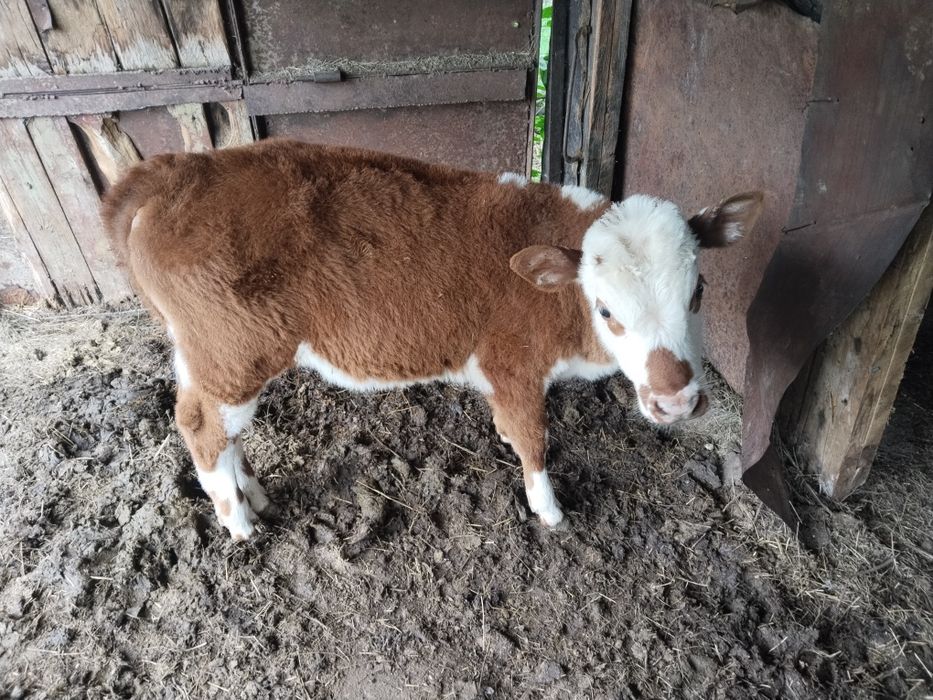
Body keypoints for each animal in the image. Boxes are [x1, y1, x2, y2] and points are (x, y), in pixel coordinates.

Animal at [102, 140, 763, 541]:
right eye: (606, 309)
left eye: (698, 292)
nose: (677, 400)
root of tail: (178, 169)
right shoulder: (511, 367)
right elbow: (532, 440)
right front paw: (549, 511)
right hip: (233, 352)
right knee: (202, 427)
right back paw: (239, 522)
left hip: (207, 354)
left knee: (216, 427)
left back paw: (254, 496)